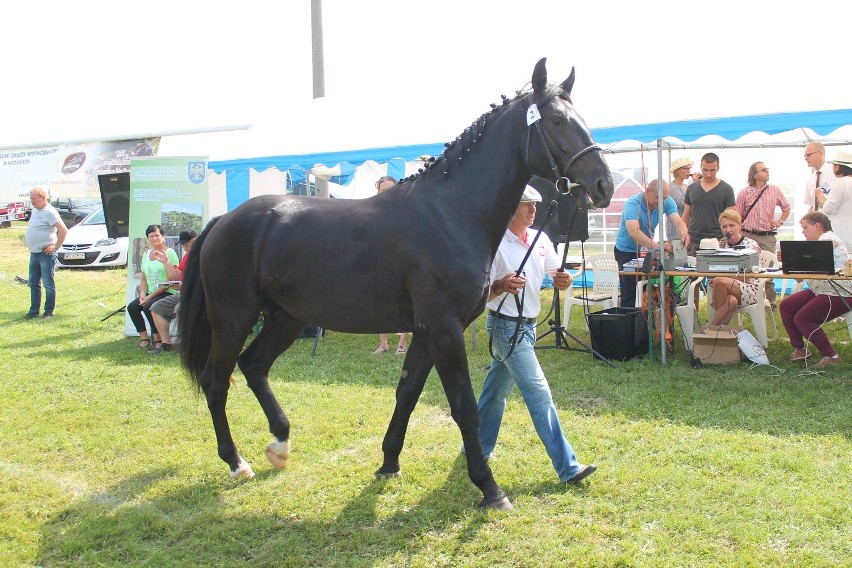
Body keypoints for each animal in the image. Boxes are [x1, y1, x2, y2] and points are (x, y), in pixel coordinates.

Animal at [181, 58, 612, 510]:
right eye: (558, 120)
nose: (604, 185)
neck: (450, 212)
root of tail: (223, 221)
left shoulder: (424, 331)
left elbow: (406, 393)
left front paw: (389, 462)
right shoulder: (444, 329)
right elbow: (464, 406)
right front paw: (490, 489)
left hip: (286, 319)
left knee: (254, 366)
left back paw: (280, 445)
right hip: (233, 319)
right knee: (216, 381)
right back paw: (236, 462)